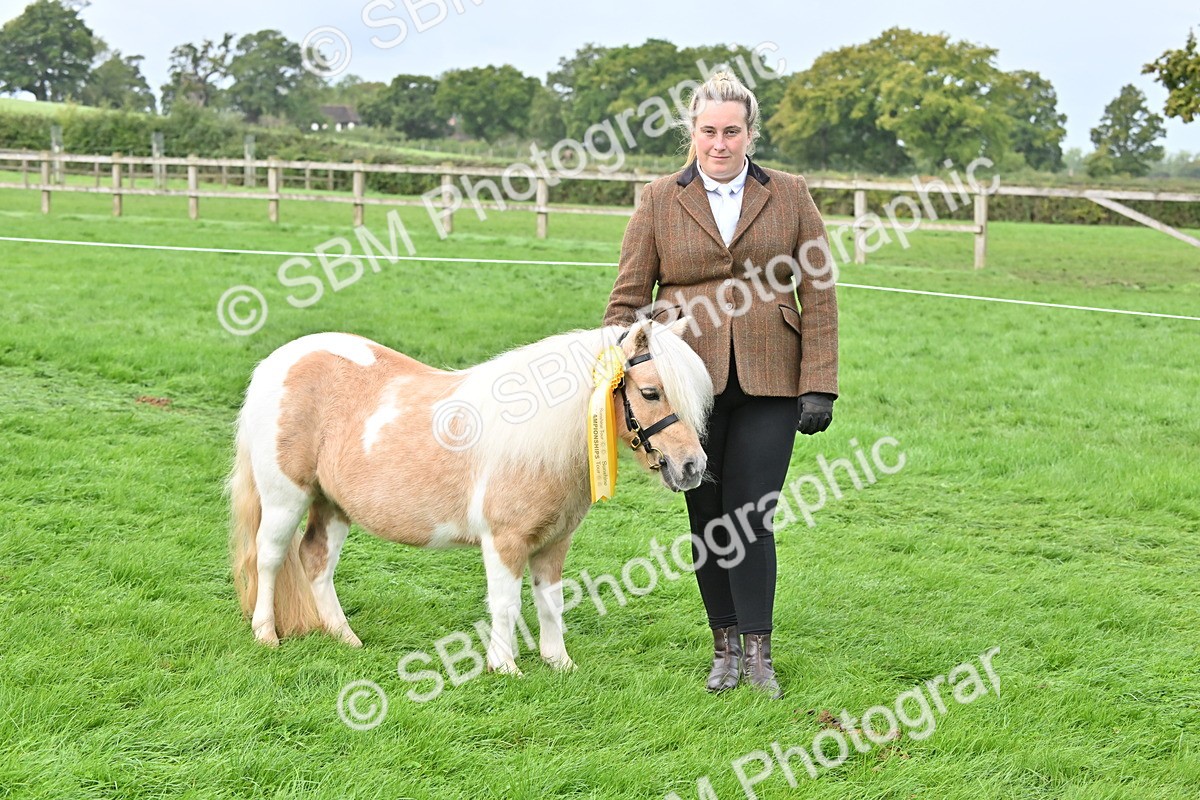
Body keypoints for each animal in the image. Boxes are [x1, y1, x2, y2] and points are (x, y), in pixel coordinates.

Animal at [228, 316, 713, 674]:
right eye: (650, 391)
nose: (692, 467)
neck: (535, 442)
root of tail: (279, 361)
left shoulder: (554, 542)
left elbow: (551, 601)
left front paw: (559, 662)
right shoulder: (504, 541)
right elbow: (506, 602)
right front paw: (505, 666)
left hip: (332, 505)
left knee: (316, 560)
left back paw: (345, 637)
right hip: (285, 498)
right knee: (269, 557)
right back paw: (266, 634)